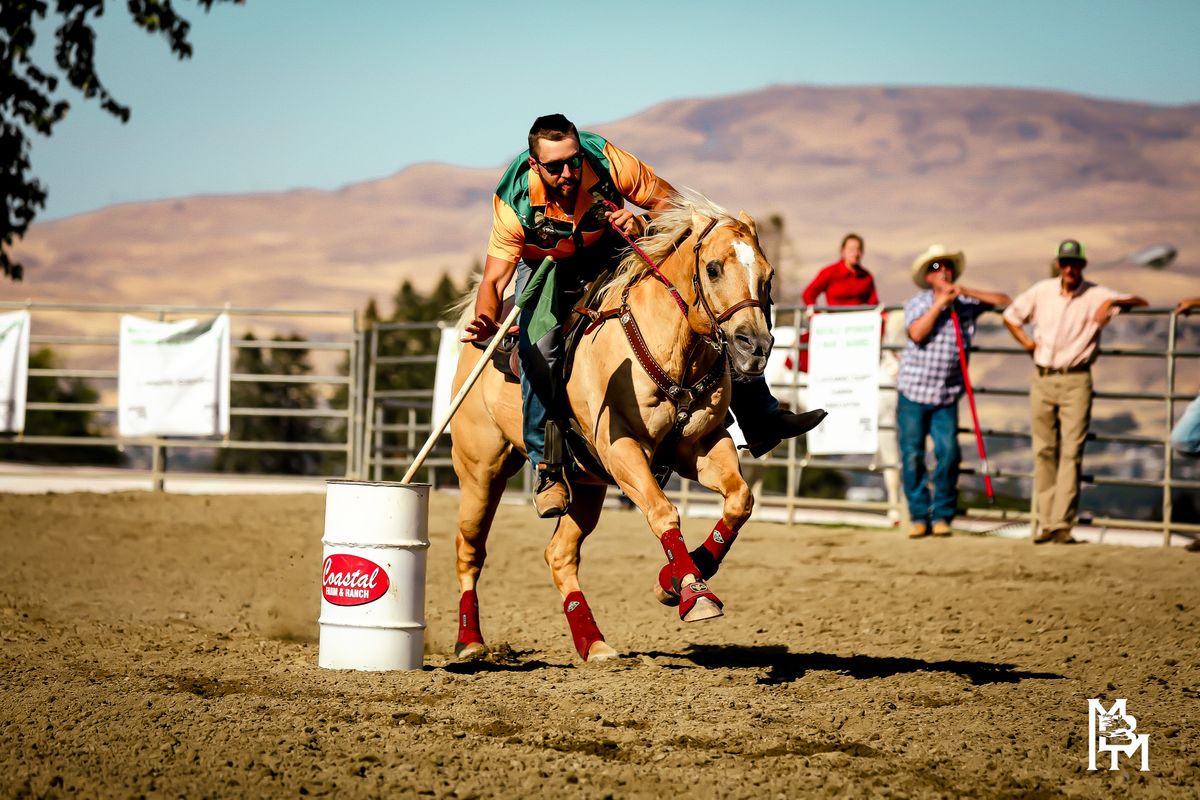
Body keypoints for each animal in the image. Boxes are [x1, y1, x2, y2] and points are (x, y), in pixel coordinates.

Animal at [451, 199, 777, 662]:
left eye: (769, 275)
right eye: (713, 268)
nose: (755, 347)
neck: (672, 348)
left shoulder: (702, 446)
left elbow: (740, 500)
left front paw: (681, 576)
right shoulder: (622, 449)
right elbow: (663, 511)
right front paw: (693, 592)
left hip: (587, 486)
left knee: (559, 555)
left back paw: (593, 642)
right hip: (482, 469)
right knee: (470, 549)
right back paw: (471, 640)